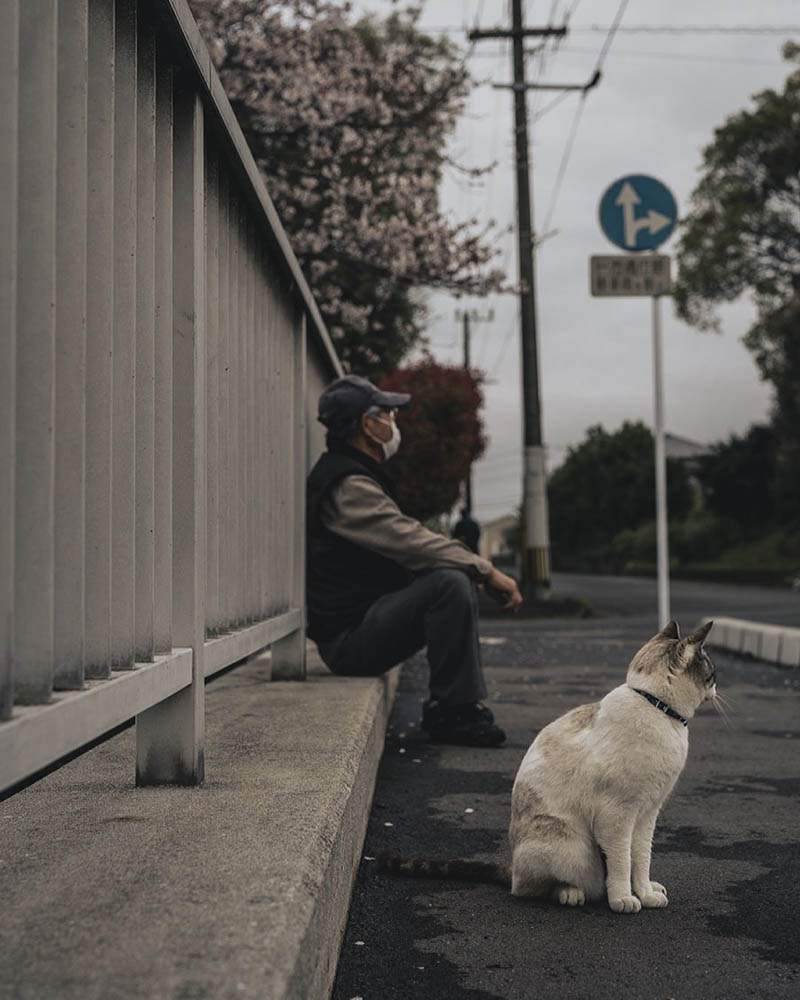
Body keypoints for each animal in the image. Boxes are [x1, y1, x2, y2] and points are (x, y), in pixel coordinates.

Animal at [382, 616, 720, 916]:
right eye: (712, 674)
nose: (718, 687)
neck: (656, 708)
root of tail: (513, 867)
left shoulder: (648, 813)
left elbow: (641, 859)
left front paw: (646, 894)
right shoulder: (618, 816)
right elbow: (622, 862)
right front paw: (624, 899)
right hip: (574, 848)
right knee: (534, 887)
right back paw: (571, 893)